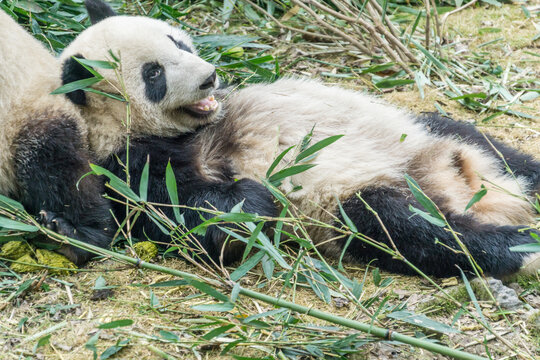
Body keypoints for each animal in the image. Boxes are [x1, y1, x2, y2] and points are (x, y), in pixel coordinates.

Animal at [34, 0, 540, 276]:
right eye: (153, 74)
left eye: (177, 42)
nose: (209, 77)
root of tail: (480, 191)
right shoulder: (130, 166)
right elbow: (203, 214)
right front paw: (254, 199)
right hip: (353, 203)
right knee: (402, 225)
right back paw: (517, 244)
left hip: (428, 134)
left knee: (489, 147)